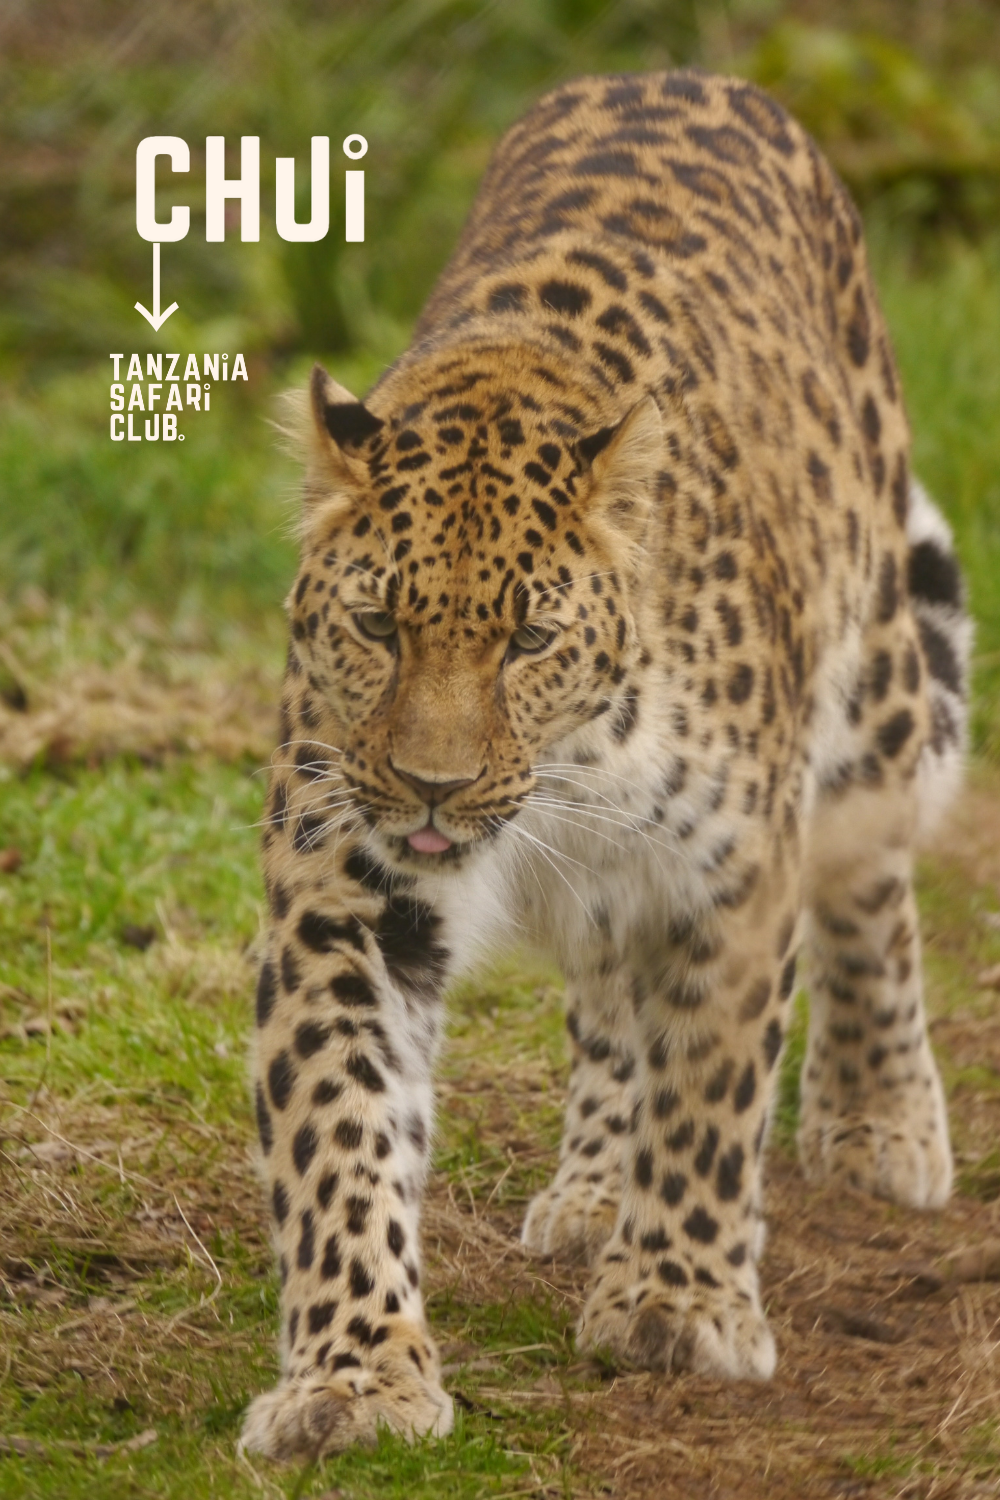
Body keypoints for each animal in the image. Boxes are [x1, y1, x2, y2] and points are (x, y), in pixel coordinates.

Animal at [240, 68, 971, 1461]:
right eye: (378, 626)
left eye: (527, 638)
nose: (430, 785)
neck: (575, 761)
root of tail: (686, 73)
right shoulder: (343, 890)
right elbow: (340, 1127)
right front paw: (354, 1376)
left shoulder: (732, 871)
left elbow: (712, 1090)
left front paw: (677, 1304)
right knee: (610, 994)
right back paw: (590, 1190)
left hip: (876, 684)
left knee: (870, 887)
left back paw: (879, 1119)